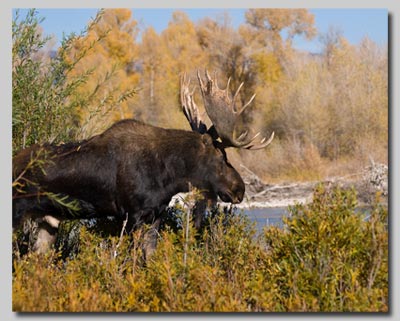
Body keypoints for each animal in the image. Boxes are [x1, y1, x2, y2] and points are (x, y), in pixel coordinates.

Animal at [13, 70, 276, 255]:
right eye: (221, 157)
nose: (240, 189)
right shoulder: (133, 214)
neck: (168, 177)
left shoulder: (155, 215)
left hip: (48, 221)